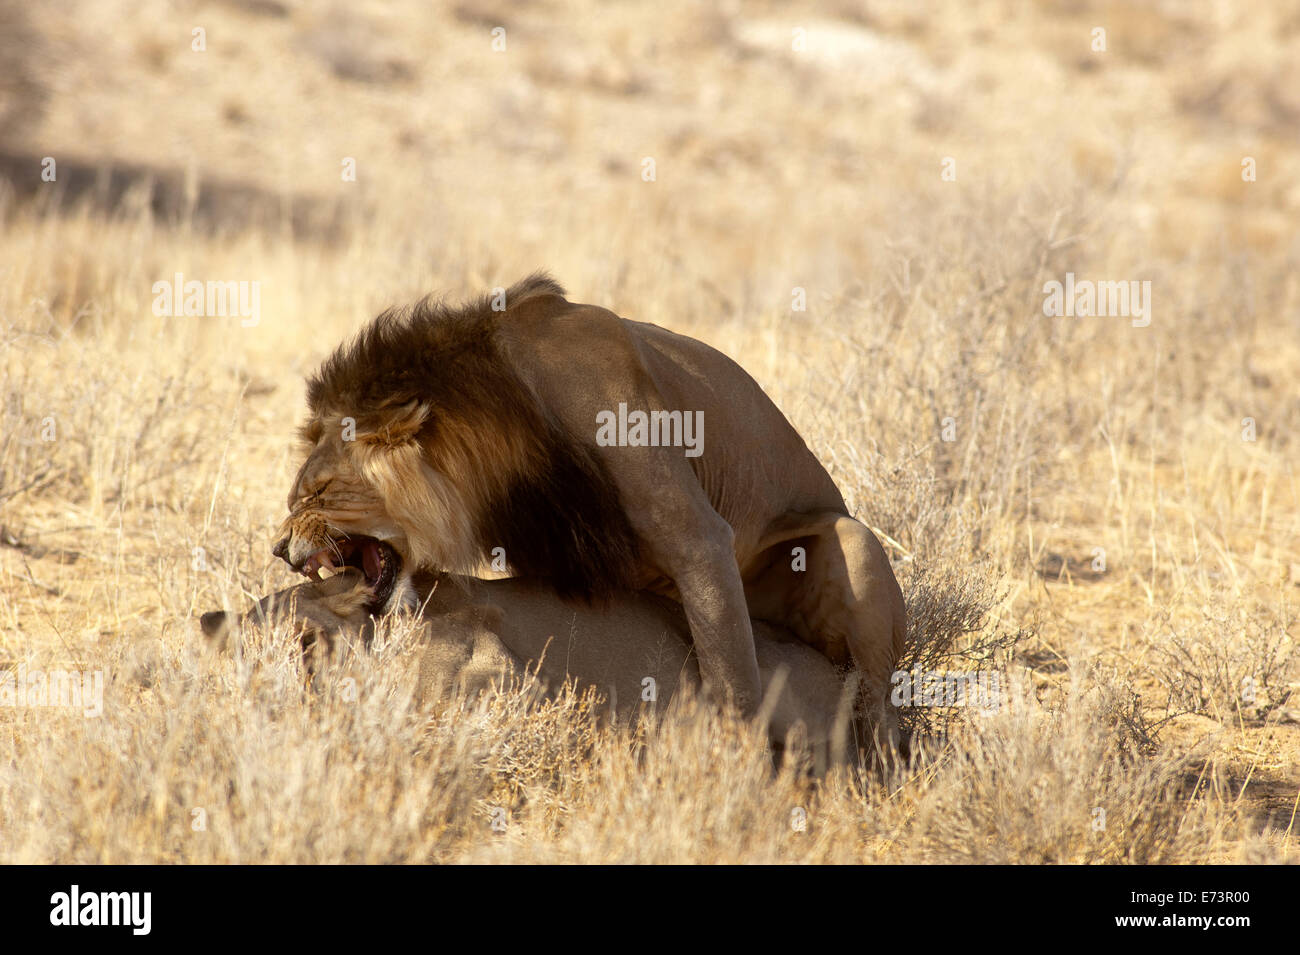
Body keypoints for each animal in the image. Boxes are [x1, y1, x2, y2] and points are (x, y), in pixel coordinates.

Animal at [272, 273, 905, 735]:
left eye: (317, 493)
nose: (278, 549)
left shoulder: (698, 537)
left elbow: (731, 675)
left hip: (854, 544)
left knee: (878, 703)